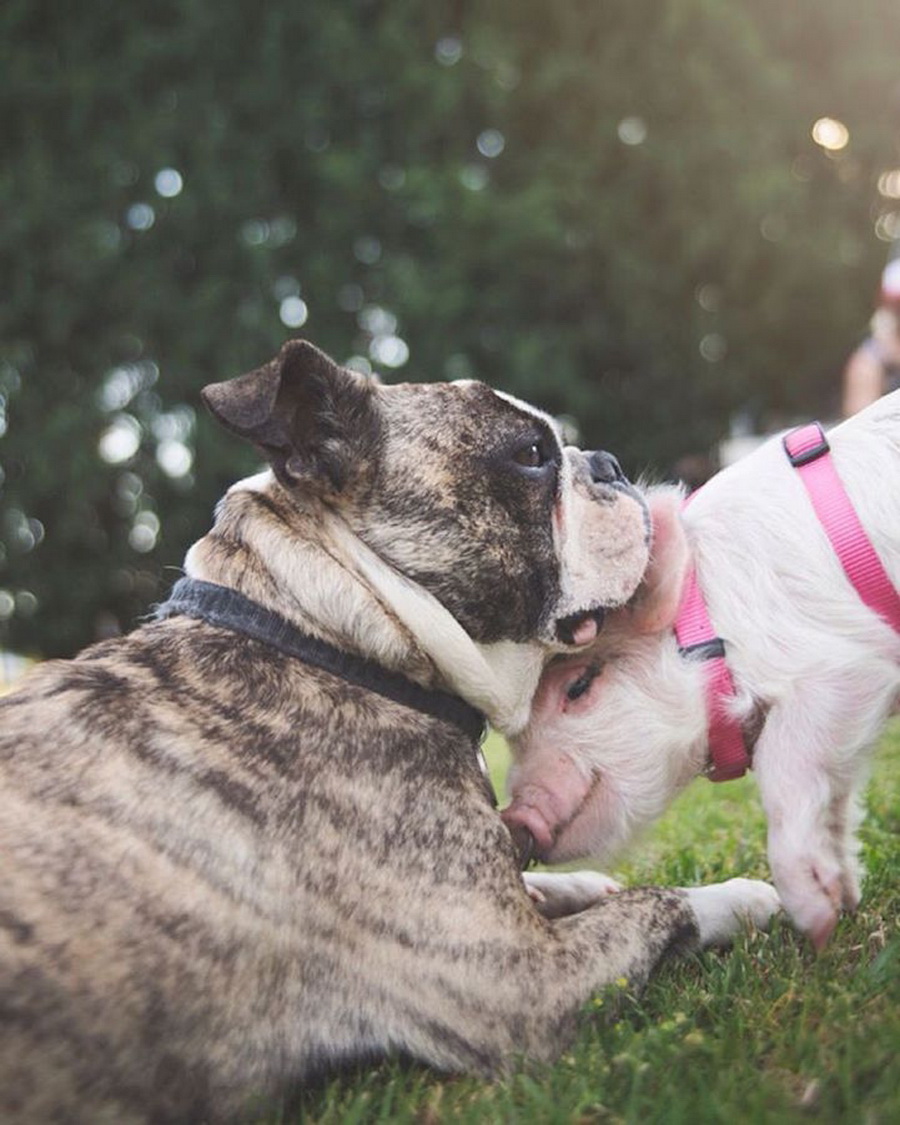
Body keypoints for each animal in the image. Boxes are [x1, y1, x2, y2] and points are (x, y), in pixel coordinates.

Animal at [0, 337, 778, 1120]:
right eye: (531, 455)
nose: (608, 463)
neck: (325, 630)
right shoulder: (523, 977)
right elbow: (661, 906)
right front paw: (743, 896)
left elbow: (552, 883)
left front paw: (582, 883)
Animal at [501, 391, 900, 945]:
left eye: (578, 686)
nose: (515, 817)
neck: (712, 626)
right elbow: (837, 799)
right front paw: (844, 903)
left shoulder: (844, 664)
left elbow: (781, 760)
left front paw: (814, 922)